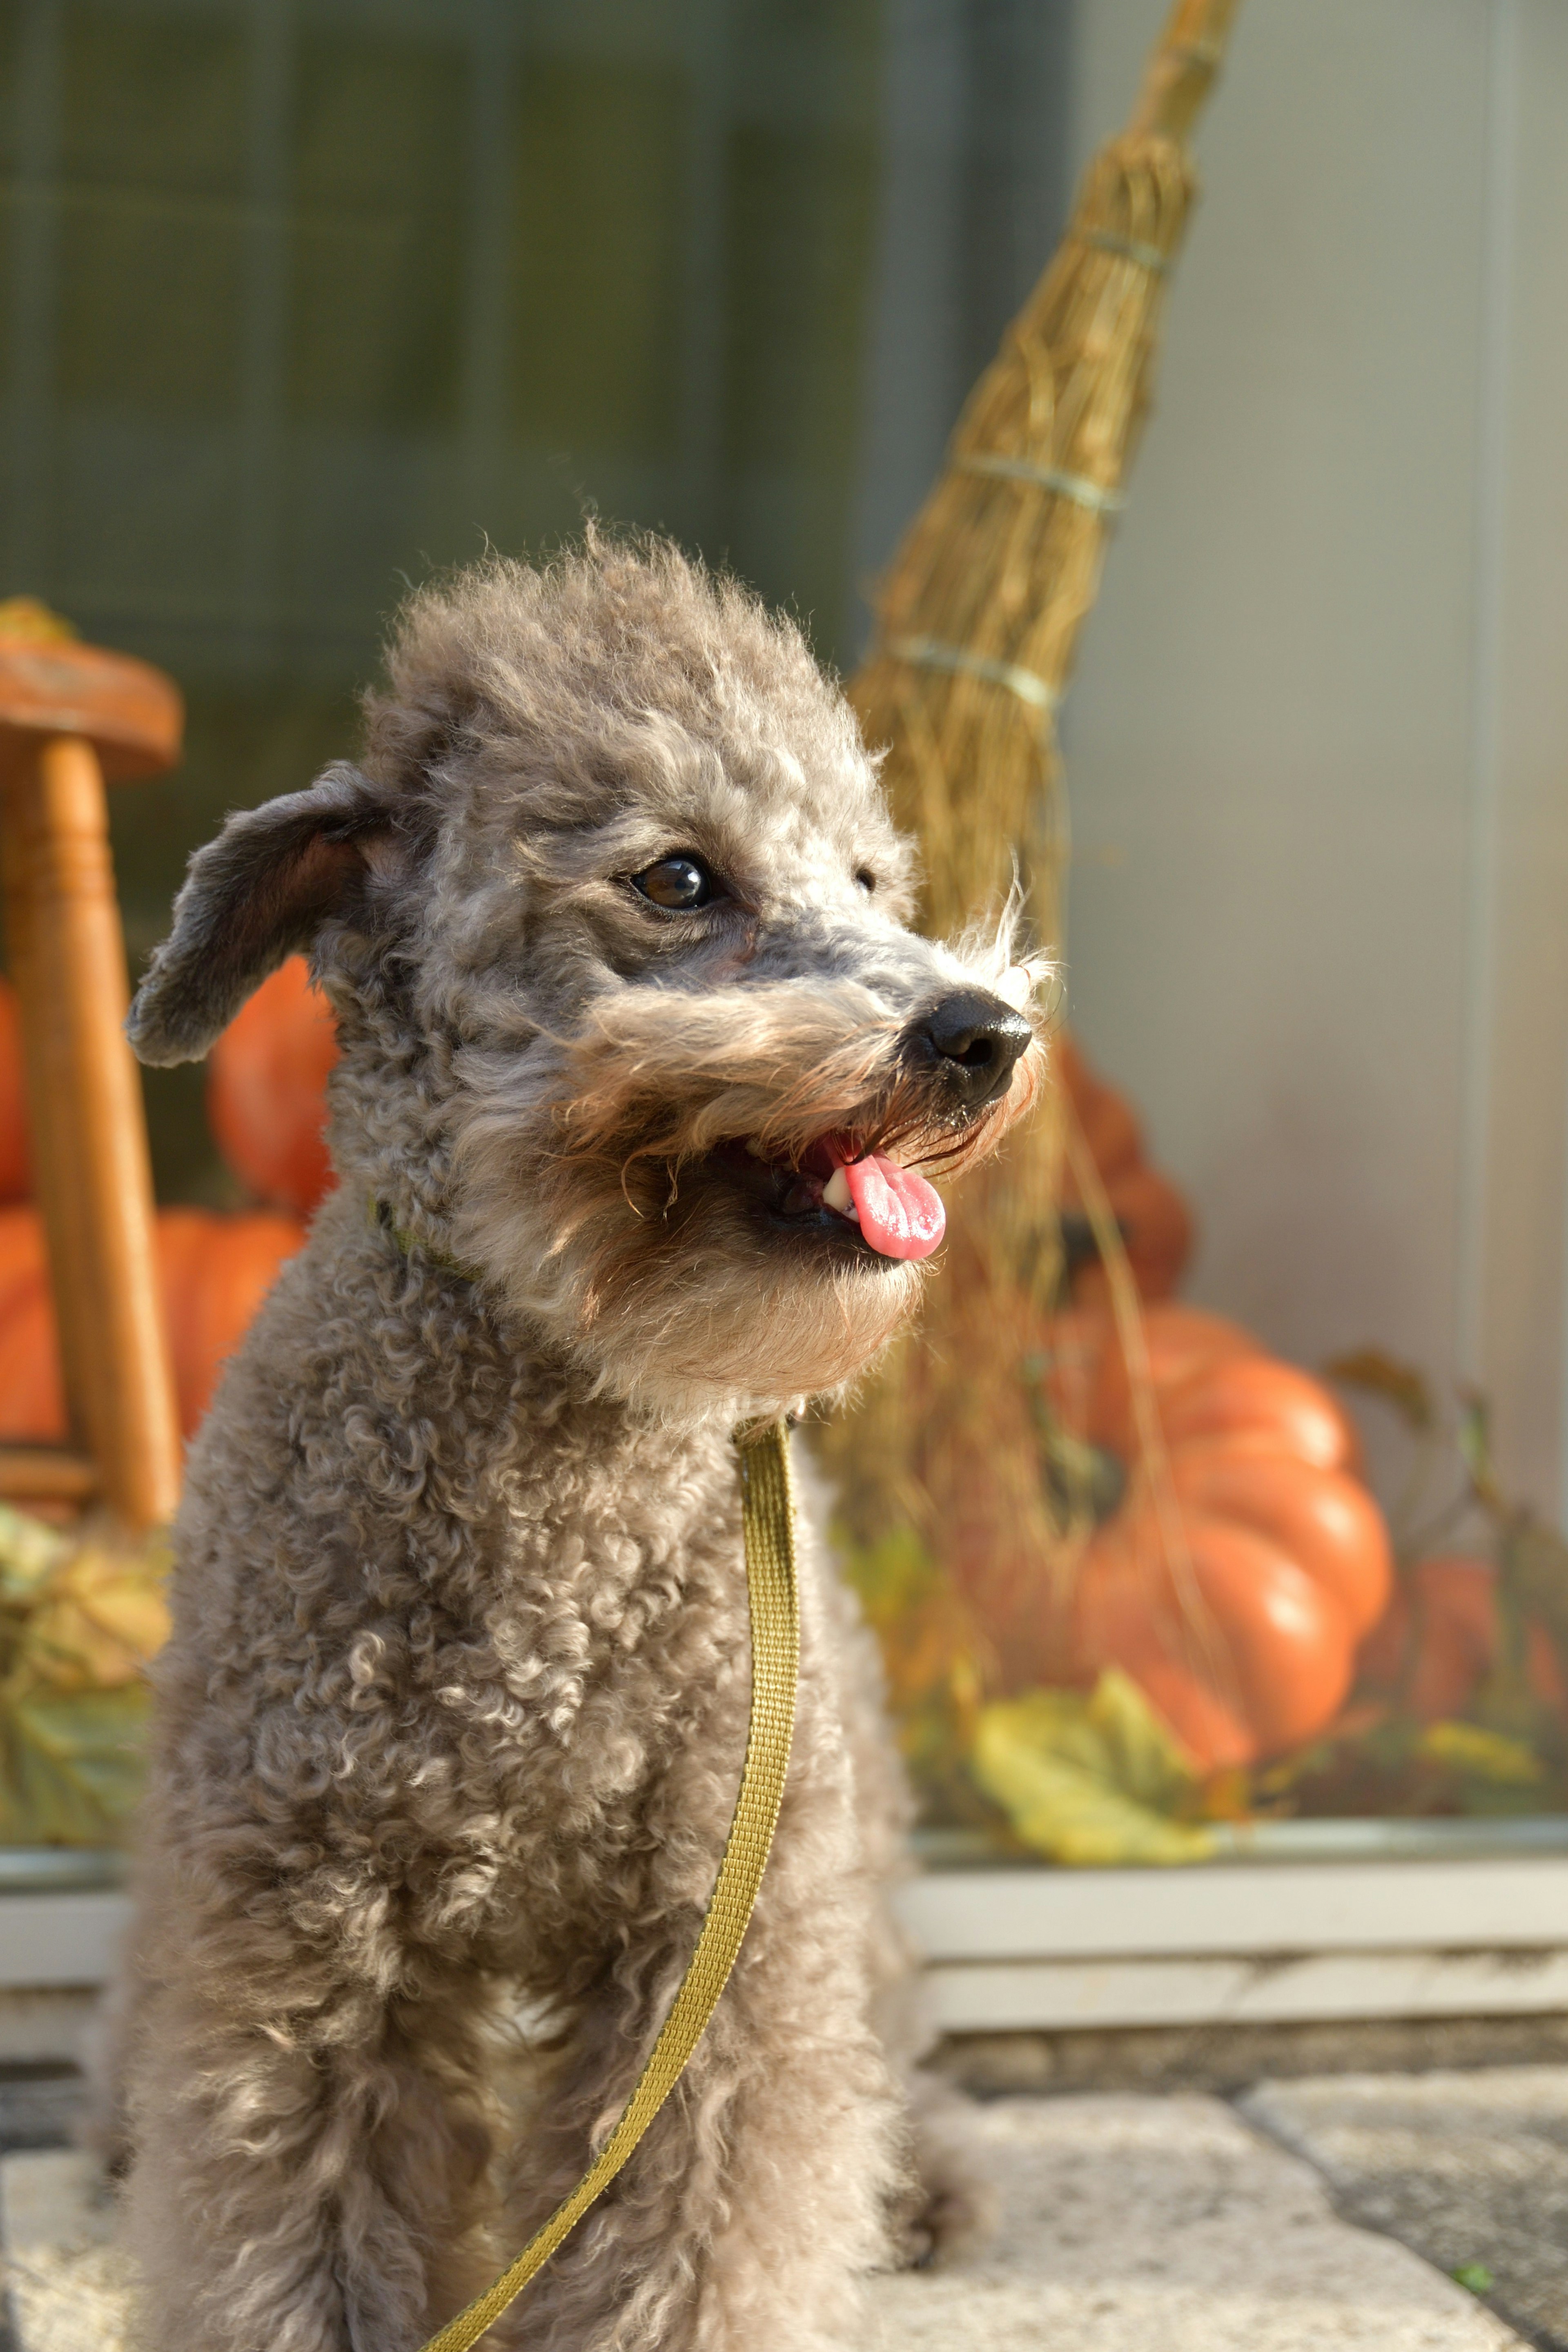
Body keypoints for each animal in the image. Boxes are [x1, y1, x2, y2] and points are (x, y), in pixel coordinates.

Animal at [113, 539, 1044, 2352]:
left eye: (870, 879)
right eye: (679, 879)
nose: (983, 1033)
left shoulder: (720, 1940)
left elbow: (693, 2232)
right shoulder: (307, 1937)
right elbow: (297, 2213)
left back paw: (923, 2183)